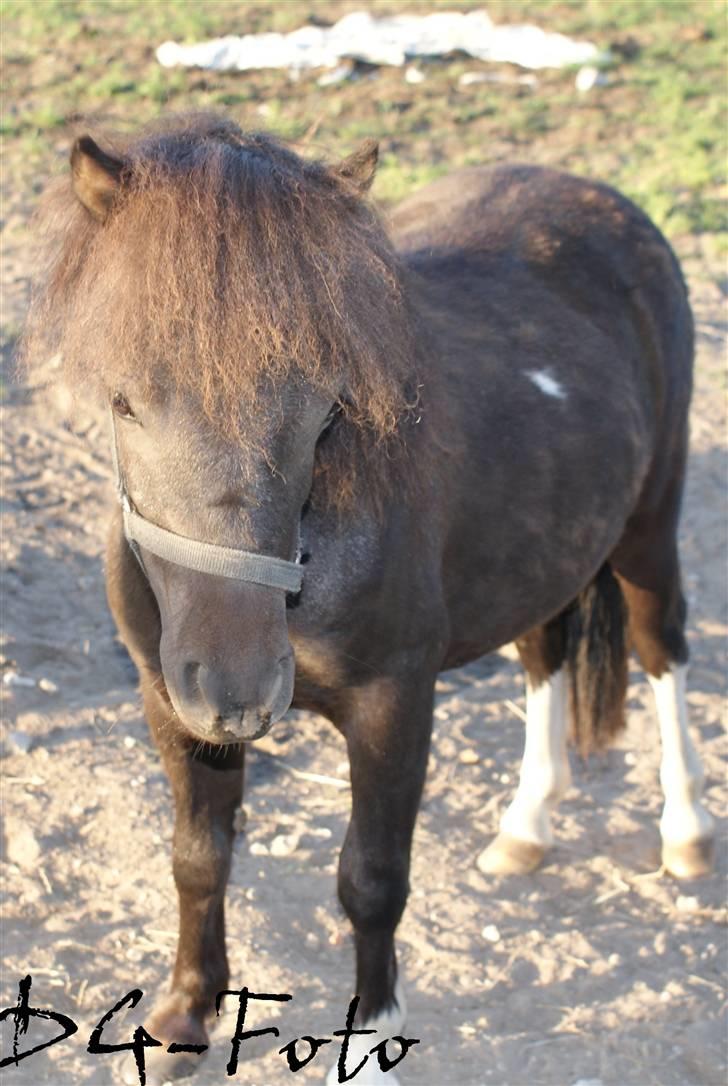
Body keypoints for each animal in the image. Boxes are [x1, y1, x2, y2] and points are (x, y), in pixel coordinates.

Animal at [24, 114, 717, 1081]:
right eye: (124, 404)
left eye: (326, 412)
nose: (238, 691)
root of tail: (605, 201)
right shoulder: (167, 701)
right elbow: (198, 859)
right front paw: (186, 1017)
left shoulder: (395, 702)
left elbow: (372, 879)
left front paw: (372, 1033)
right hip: (541, 554)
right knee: (543, 657)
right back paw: (526, 828)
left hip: (647, 530)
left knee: (664, 653)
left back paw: (685, 831)